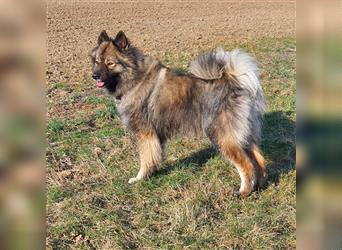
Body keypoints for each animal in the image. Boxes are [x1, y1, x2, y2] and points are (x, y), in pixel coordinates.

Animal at [89, 30, 266, 196]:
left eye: (110, 63)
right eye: (97, 61)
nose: (94, 75)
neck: (135, 77)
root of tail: (235, 83)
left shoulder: (145, 133)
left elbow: (145, 159)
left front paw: (140, 178)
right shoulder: (156, 135)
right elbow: (156, 155)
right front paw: (154, 171)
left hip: (223, 136)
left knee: (246, 165)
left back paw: (244, 192)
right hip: (243, 135)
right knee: (259, 160)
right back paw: (258, 185)